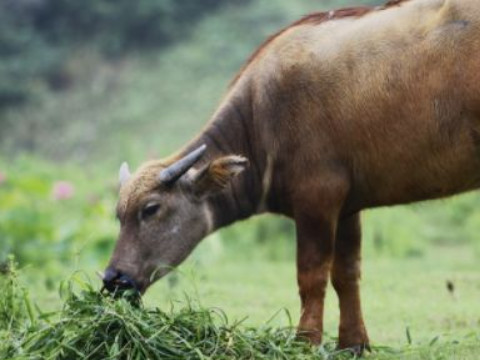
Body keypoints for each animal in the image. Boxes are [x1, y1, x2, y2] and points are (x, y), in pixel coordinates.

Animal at [103, 0, 480, 350]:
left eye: (151, 209)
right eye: (119, 215)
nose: (113, 279)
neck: (261, 119)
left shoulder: (317, 199)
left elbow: (311, 275)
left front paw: (305, 341)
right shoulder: (347, 206)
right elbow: (347, 273)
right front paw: (352, 343)